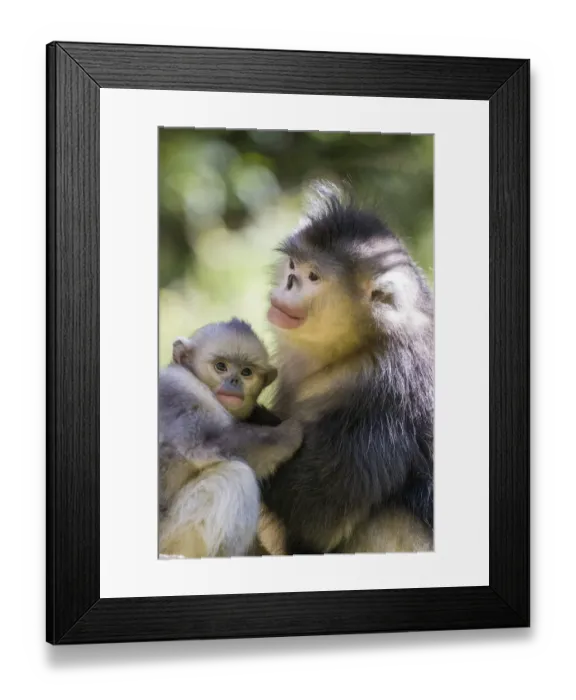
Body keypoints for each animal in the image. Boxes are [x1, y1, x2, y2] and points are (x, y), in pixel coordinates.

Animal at [158, 318, 303, 559]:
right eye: (221, 367)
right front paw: (292, 431)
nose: (234, 381)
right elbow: (205, 443)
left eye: (246, 372)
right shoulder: (179, 389)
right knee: (235, 473)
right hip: (170, 536)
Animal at [258, 181, 434, 556]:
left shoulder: (381, 399)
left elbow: (315, 517)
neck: (364, 344)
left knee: (392, 517)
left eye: (313, 276)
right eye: (293, 265)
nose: (289, 282)